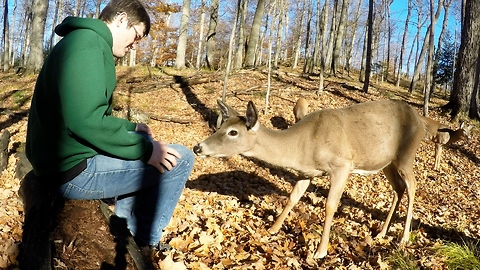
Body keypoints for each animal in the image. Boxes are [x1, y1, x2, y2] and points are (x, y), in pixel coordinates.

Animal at [192, 99, 436, 260]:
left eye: (233, 132)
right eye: (221, 126)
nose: (197, 147)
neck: (303, 146)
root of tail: (421, 119)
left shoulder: (342, 165)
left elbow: (330, 206)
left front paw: (320, 250)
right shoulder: (307, 172)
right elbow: (292, 197)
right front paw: (272, 229)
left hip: (406, 155)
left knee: (413, 187)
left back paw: (403, 238)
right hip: (386, 162)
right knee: (398, 189)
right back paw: (381, 233)